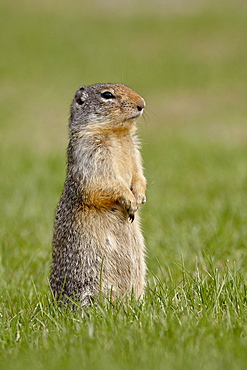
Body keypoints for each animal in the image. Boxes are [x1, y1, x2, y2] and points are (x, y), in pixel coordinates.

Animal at [50, 84, 147, 306]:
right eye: (107, 95)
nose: (142, 104)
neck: (117, 134)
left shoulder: (135, 152)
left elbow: (139, 175)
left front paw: (140, 196)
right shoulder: (91, 153)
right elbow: (102, 183)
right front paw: (129, 200)